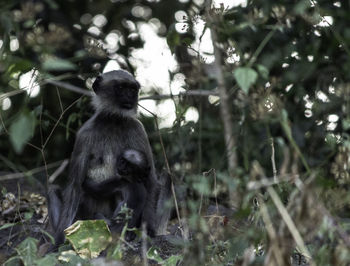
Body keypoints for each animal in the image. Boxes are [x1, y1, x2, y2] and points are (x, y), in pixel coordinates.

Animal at [47, 69, 171, 248]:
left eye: (132, 89)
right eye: (120, 88)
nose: (130, 97)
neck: (114, 120)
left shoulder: (138, 128)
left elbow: (151, 180)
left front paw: (147, 232)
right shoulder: (85, 134)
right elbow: (76, 185)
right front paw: (58, 242)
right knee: (53, 189)